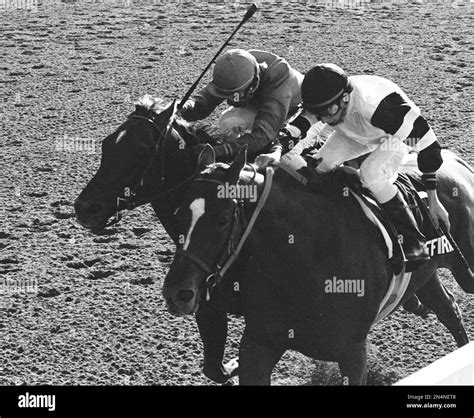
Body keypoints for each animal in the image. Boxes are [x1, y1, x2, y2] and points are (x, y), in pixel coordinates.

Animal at [164, 145, 474, 384]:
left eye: (222, 219)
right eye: (177, 214)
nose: (177, 293)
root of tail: (455, 161)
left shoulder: (352, 353)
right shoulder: (259, 344)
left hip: (465, 269)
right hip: (425, 276)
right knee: (449, 308)